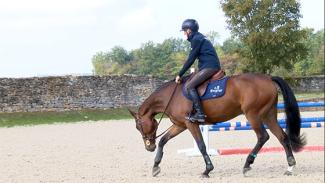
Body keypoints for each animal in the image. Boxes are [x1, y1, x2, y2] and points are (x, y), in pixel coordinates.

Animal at [128, 72, 306, 177]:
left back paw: (247, 164)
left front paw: (207, 169)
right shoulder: (180, 125)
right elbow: (164, 140)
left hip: (253, 115)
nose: (149, 147)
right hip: (268, 115)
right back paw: (290, 166)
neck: (171, 96)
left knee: (263, 136)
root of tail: (268, 78)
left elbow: (201, 146)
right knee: (282, 137)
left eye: (138, 126)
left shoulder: (190, 124)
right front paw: (155, 166)